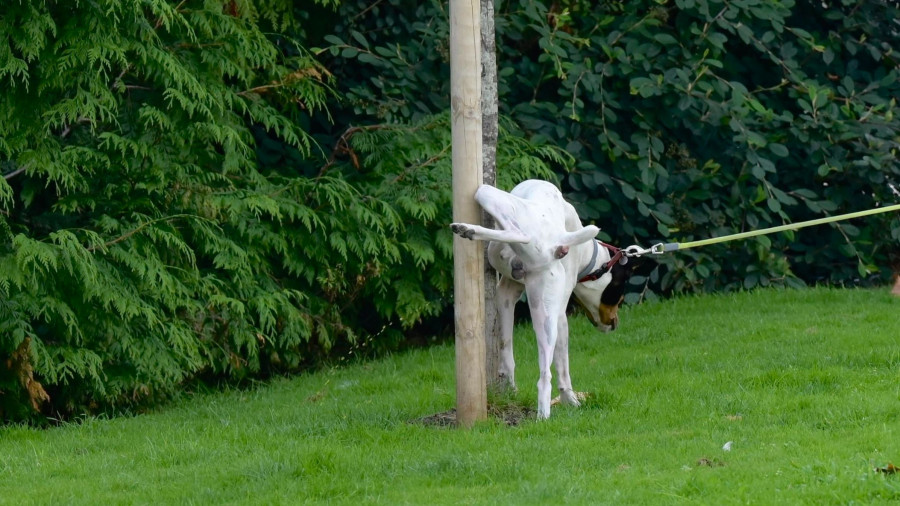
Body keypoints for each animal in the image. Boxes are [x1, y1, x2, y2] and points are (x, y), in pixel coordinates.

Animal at [450, 180, 652, 418]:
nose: (614, 324)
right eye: (619, 299)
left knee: (520, 233)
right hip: (544, 313)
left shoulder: (519, 296)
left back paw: (469, 230)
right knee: (545, 371)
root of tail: (555, 241)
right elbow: (514, 351)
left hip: (487, 193)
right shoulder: (514, 296)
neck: (588, 255)